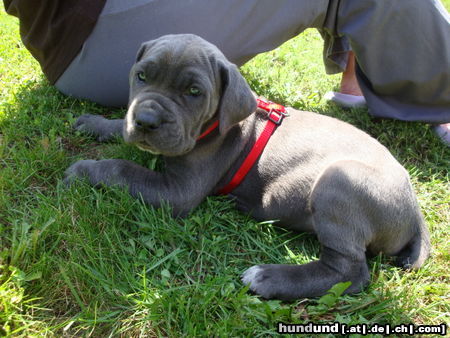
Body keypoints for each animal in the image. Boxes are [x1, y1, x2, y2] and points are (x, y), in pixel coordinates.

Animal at [65, 34, 430, 302]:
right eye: (141, 76)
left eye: (194, 92)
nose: (146, 121)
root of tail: (415, 211)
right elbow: (120, 133)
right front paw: (96, 123)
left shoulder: (178, 192)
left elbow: (122, 169)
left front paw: (84, 170)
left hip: (340, 182)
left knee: (350, 273)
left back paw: (268, 278)